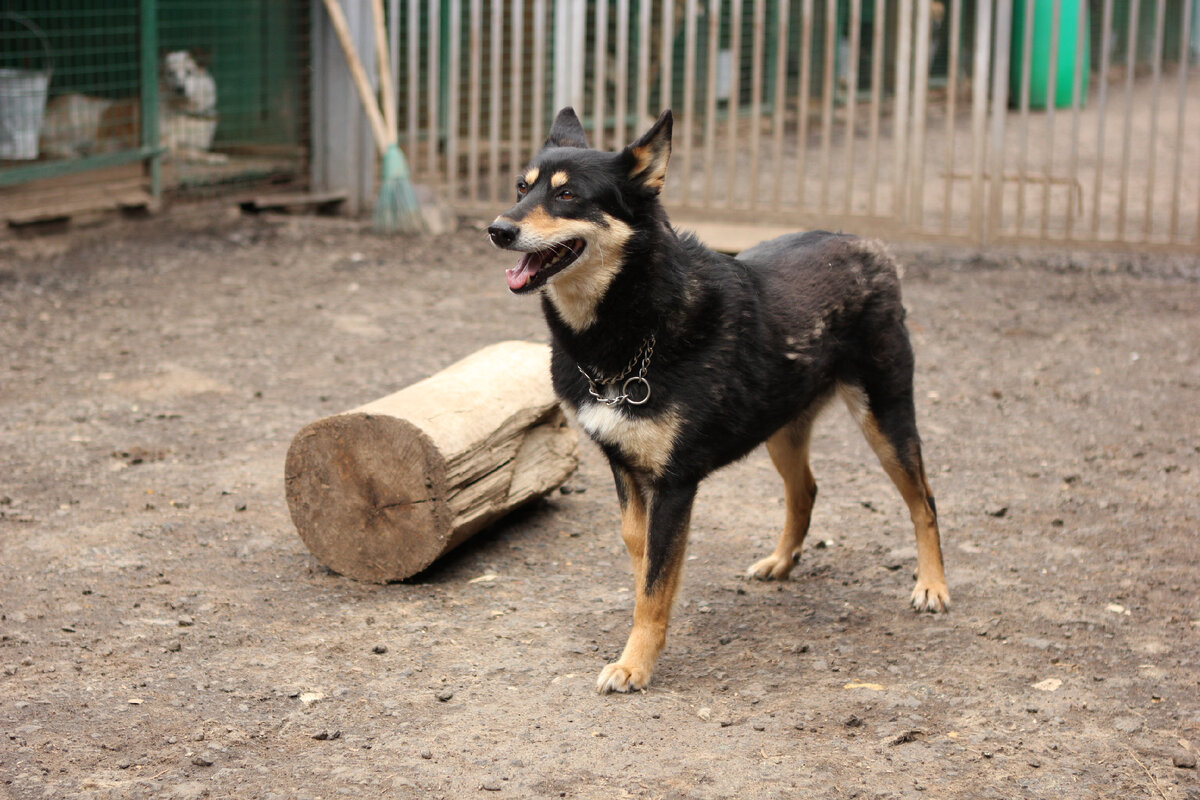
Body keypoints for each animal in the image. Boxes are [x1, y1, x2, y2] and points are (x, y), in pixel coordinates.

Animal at [41, 50, 225, 164]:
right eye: (170, 73)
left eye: (189, 72)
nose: (179, 89)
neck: (184, 111)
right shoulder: (163, 146)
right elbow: (190, 152)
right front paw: (214, 157)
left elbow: (194, 149)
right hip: (81, 123)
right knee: (45, 145)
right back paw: (72, 154)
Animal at [487, 106, 945, 695]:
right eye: (522, 188)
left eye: (567, 195)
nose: (498, 230)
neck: (633, 325)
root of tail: (870, 247)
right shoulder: (625, 468)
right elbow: (642, 558)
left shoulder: (676, 484)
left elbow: (656, 581)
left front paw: (634, 664)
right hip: (781, 427)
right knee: (806, 490)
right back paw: (781, 561)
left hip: (885, 417)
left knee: (923, 501)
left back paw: (932, 586)